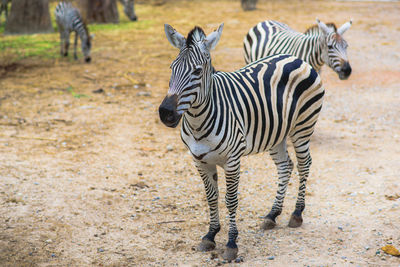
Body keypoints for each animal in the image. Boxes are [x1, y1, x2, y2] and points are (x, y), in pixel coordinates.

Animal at [158, 23, 324, 262]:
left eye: (197, 71)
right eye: (172, 67)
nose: (166, 113)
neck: (198, 122)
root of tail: (296, 58)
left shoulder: (232, 160)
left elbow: (231, 200)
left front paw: (231, 243)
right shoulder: (199, 160)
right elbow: (211, 197)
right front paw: (210, 235)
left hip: (303, 126)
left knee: (304, 164)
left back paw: (296, 214)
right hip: (276, 133)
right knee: (285, 166)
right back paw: (273, 215)